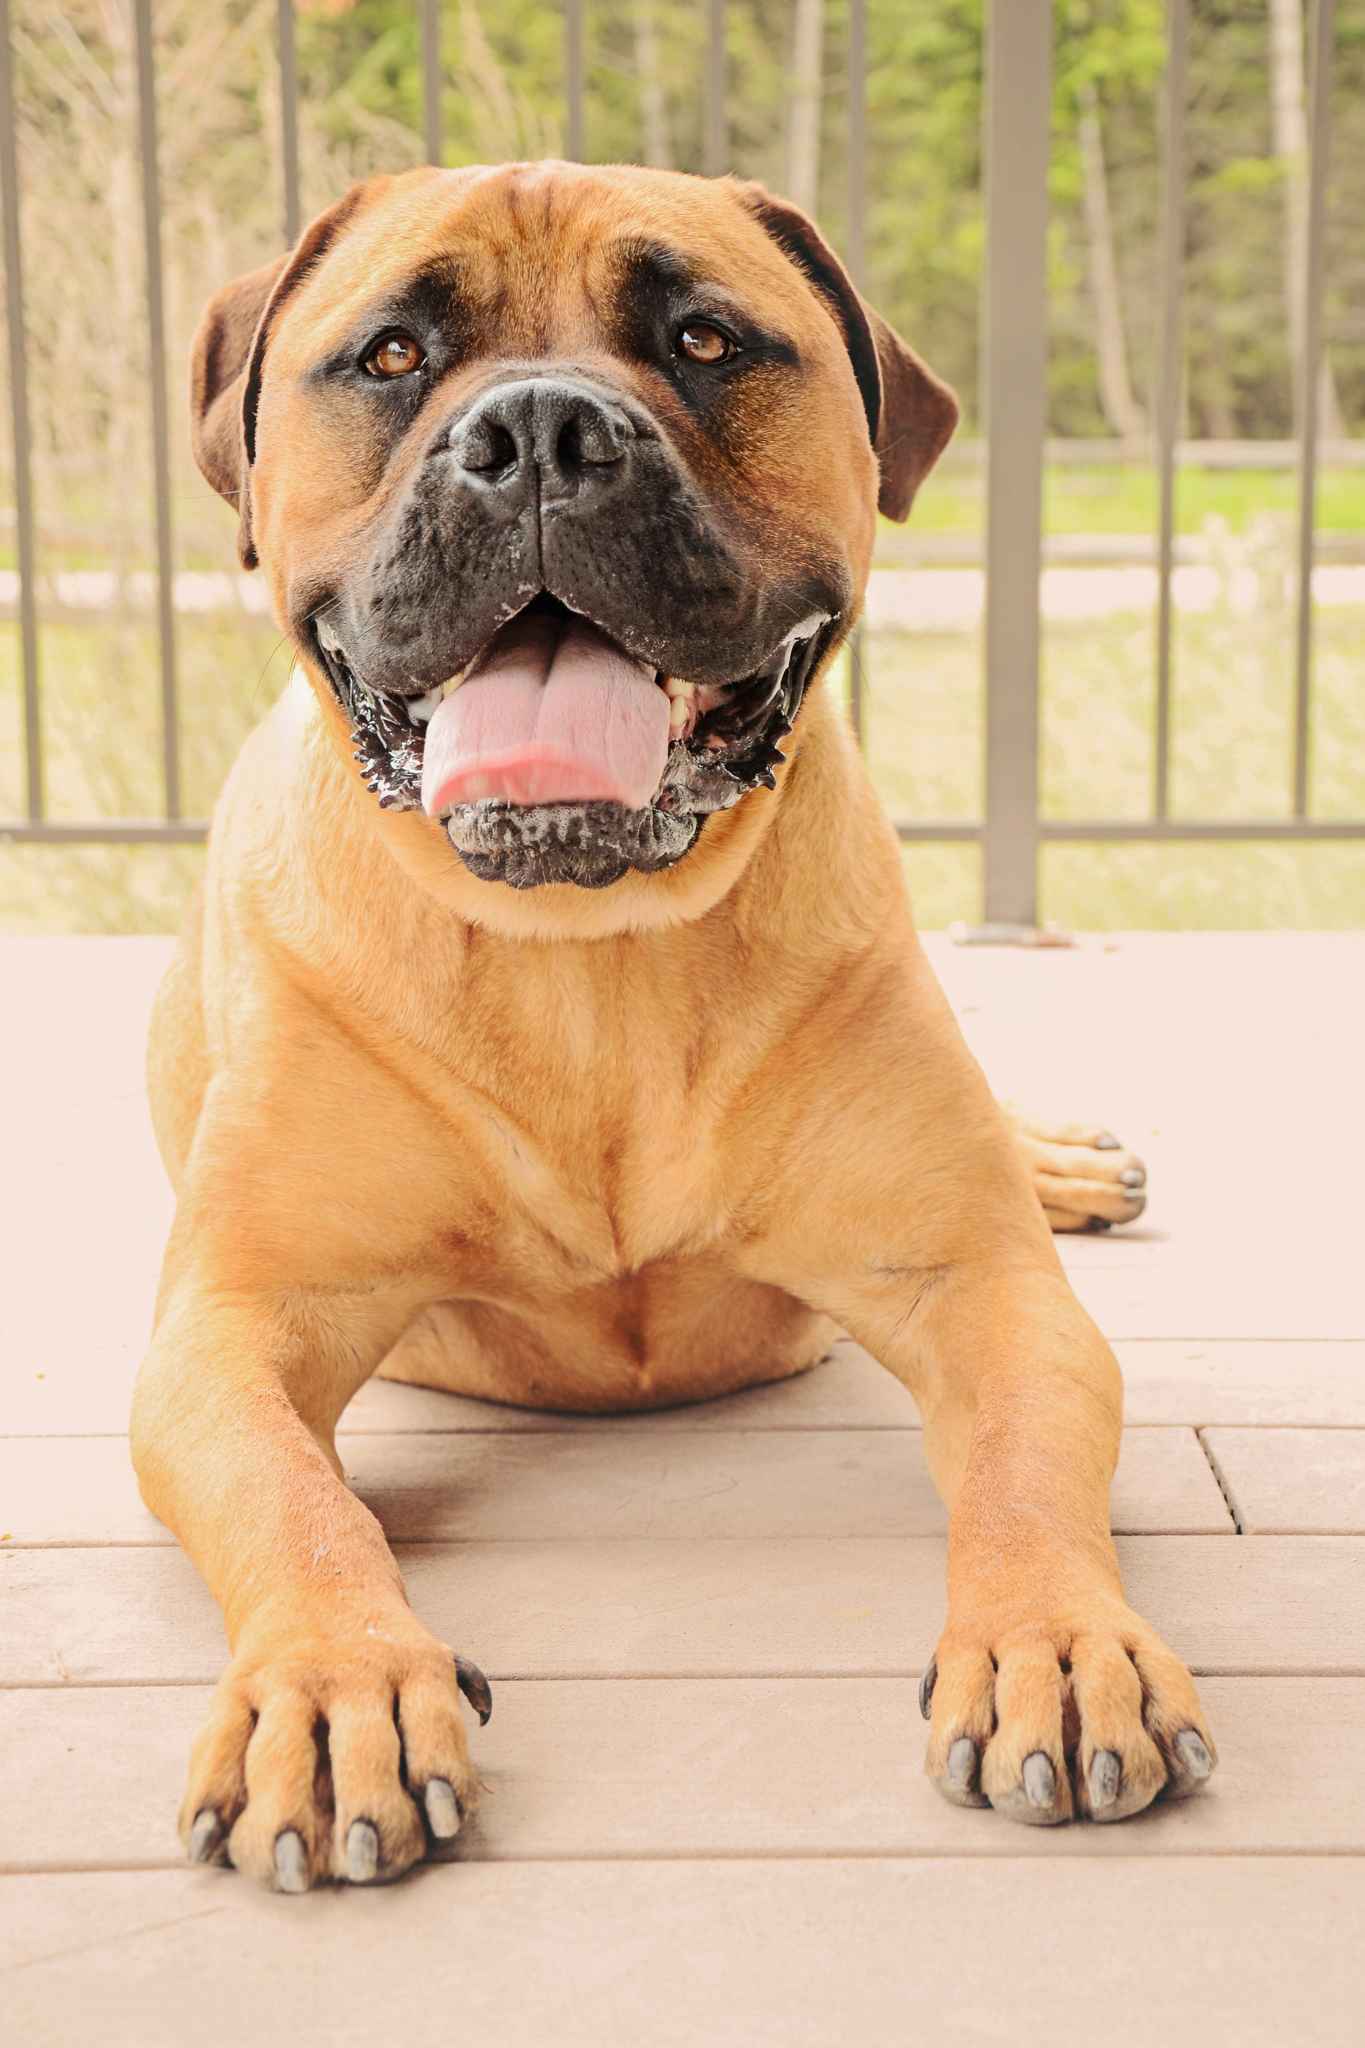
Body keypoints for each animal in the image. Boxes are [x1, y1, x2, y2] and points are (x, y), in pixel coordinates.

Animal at [130, 159, 1219, 1884]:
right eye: (390, 355)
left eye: (706, 339)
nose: (539, 433)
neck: (588, 959)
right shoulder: (233, 1332)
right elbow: (297, 1502)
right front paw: (332, 1681)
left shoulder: (983, 1291)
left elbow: (1026, 1468)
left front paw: (1055, 1637)